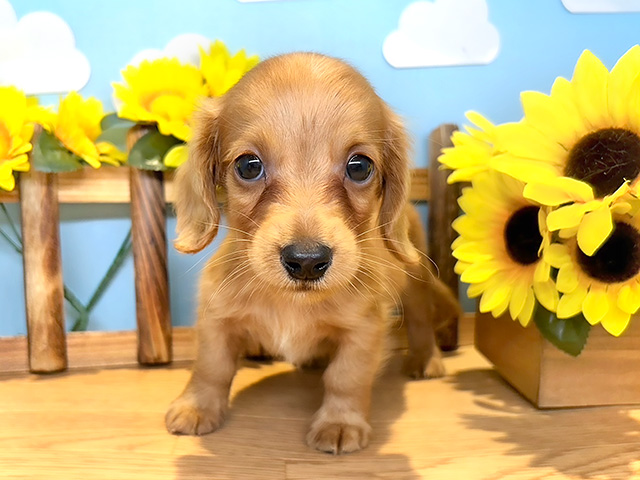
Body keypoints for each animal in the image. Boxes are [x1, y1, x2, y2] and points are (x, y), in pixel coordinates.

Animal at [165, 52, 460, 454]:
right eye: (248, 165)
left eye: (360, 166)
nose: (306, 262)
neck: (291, 302)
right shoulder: (216, 318)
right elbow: (211, 367)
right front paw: (197, 407)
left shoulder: (363, 328)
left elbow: (346, 377)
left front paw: (340, 422)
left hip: (414, 284)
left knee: (419, 322)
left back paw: (426, 358)